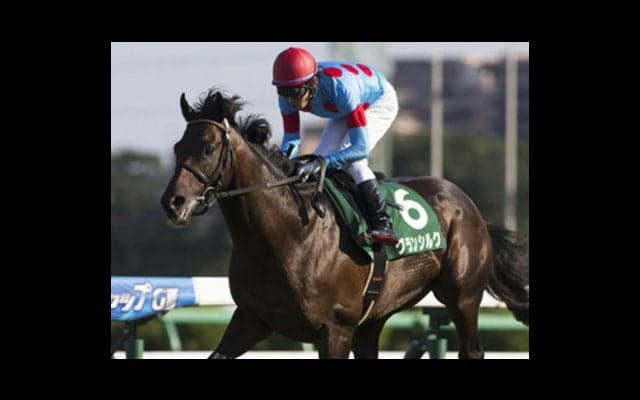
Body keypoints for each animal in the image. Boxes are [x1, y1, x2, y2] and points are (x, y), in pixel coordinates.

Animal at [160, 88, 529, 359]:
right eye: (177, 147)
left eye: (208, 148)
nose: (172, 203)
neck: (288, 236)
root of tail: (467, 204)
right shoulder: (251, 320)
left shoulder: (335, 329)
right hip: (373, 319)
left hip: (462, 296)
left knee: (472, 348)